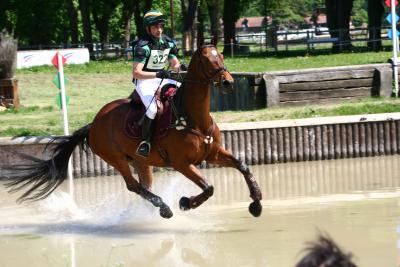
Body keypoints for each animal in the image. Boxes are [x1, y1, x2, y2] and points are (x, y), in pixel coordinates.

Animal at [2, 42, 262, 220]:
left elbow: (243, 166)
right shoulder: (182, 163)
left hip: (140, 160)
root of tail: (93, 124)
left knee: (144, 185)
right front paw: (186, 202)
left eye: (222, 56)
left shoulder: (213, 154)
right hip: (115, 158)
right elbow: (208, 187)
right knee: (133, 185)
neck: (195, 118)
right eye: (208, 60)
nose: (228, 82)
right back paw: (164, 208)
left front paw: (257, 203)